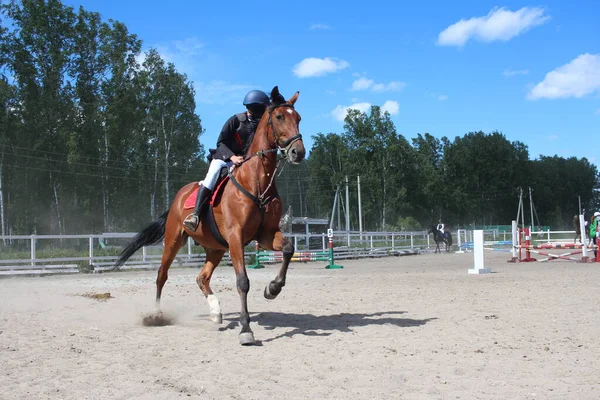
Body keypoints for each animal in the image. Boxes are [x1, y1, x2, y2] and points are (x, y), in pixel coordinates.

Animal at [115, 86, 308, 346]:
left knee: (202, 278)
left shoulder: (266, 234)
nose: (298, 152)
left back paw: (216, 312)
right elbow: (242, 281)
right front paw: (246, 329)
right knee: (161, 275)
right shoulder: (236, 237)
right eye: (279, 117)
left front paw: (273, 288)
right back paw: (156, 314)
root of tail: (179, 196)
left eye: (298, 118)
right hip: (174, 240)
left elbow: (288, 249)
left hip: (215, 248)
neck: (257, 180)